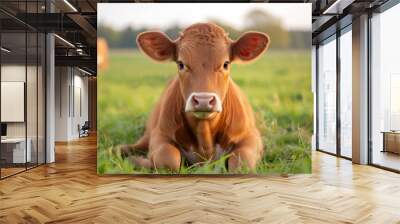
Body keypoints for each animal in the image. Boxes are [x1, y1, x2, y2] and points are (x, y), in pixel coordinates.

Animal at [120, 23, 270, 172]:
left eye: (226, 64)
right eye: (181, 64)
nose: (203, 101)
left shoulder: (251, 136)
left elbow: (241, 163)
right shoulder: (160, 135)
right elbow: (168, 159)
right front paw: (138, 161)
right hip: (147, 135)